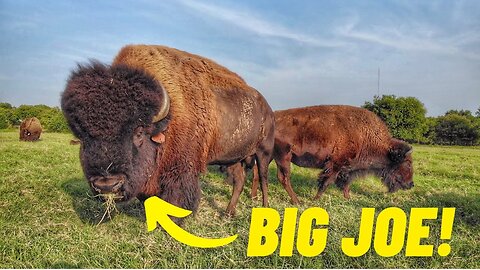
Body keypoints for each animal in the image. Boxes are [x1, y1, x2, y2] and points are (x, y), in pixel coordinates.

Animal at [61, 44, 274, 219]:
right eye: (82, 137)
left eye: (139, 132)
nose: (107, 185)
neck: (167, 119)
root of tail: (268, 109)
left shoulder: (182, 170)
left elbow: (177, 199)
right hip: (233, 159)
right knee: (239, 180)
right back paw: (228, 214)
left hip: (263, 153)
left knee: (263, 179)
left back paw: (264, 208)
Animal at [251, 104, 412, 204]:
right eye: (408, 163)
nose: (411, 184)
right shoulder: (335, 164)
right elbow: (326, 182)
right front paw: (315, 199)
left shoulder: (347, 168)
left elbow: (345, 184)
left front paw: (348, 198)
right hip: (283, 157)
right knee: (283, 178)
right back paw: (297, 201)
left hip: (268, 156)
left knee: (257, 174)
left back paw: (254, 197)